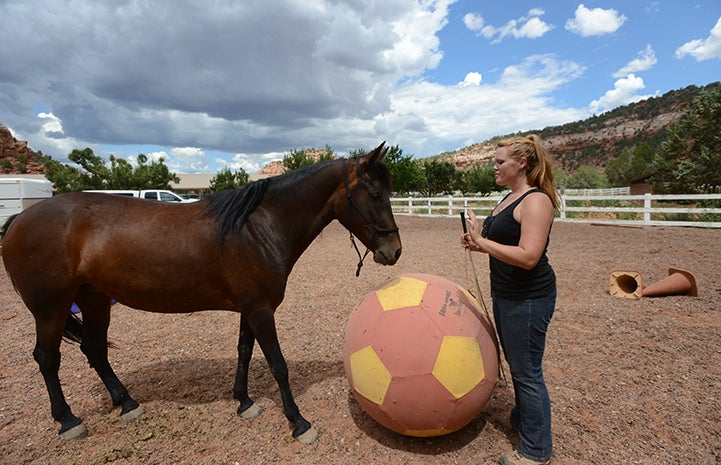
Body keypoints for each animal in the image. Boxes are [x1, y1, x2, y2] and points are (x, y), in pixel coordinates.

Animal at [2, 144, 402, 442]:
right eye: (375, 193)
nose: (394, 251)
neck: (257, 227)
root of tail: (19, 219)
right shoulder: (261, 310)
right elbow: (277, 364)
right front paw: (298, 423)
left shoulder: (250, 308)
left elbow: (244, 352)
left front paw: (244, 401)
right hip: (52, 309)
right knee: (47, 359)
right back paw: (68, 421)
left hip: (95, 299)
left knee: (95, 350)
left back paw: (127, 403)